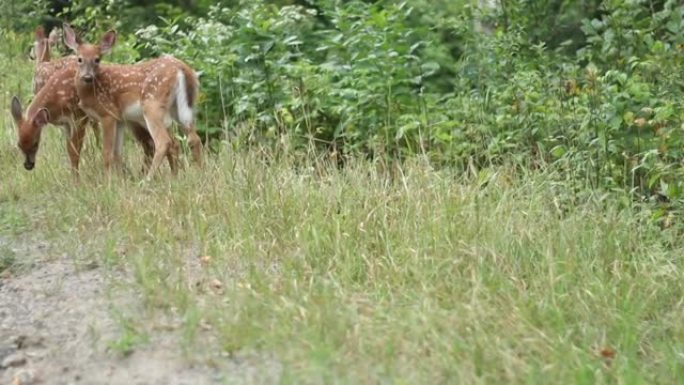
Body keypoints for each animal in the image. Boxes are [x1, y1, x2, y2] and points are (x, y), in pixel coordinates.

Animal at [62, 24, 202, 180]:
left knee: (163, 142)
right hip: (179, 108)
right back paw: (197, 174)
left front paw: (107, 181)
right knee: (193, 139)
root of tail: (181, 69)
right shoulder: (120, 119)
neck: (91, 92)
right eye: (79, 59)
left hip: (151, 104)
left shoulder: (107, 114)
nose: (87, 77)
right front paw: (119, 179)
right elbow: (117, 153)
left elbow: (107, 153)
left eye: (97, 59)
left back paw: (147, 179)